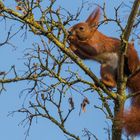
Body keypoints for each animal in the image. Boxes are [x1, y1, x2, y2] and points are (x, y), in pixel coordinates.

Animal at [67, 7, 140, 136]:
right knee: (112, 81)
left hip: (130, 60)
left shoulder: (99, 44)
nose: (70, 31)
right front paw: (69, 44)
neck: (91, 36)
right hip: (107, 67)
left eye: (81, 28)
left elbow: (92, 50)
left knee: (130, 64)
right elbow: (82, 56)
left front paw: (73, 40)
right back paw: (106, 84)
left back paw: (128, 67)